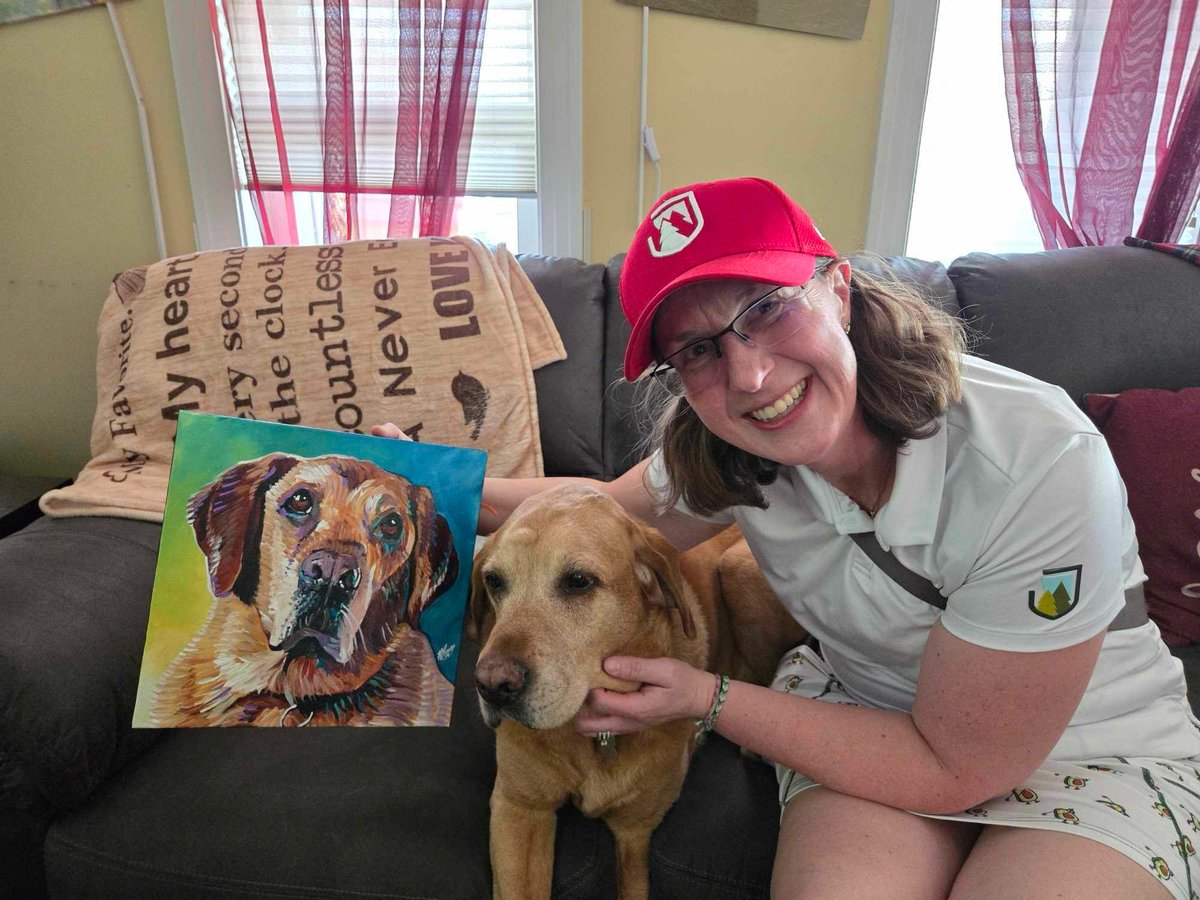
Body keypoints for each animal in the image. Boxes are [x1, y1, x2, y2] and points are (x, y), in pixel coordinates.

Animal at [470, 489, 806, 897]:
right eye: (494, 581)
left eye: (578, 580)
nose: (493, 686)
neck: (597, 740)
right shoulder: (518, 809)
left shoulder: (635, 836)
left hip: (739, 568)